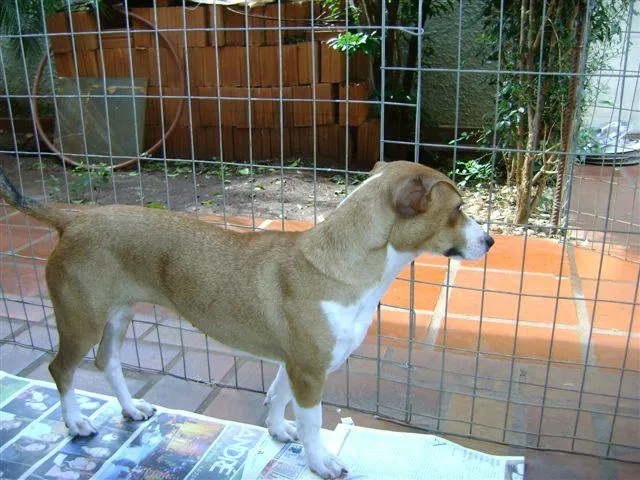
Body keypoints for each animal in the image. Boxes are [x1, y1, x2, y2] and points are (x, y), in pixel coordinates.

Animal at [0, 160, 496, 476]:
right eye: (457, 210)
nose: (490, 241)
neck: (342, 262)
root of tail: (72, 220)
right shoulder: (310, 373)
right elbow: (312, 423)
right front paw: (320, 462)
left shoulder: (293, 364)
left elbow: (276, 398)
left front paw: (278, 432)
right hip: (81, 322)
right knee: (61, 369)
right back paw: (76, 422)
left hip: (118, 318)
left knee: (108, 362)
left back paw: (130, 408)